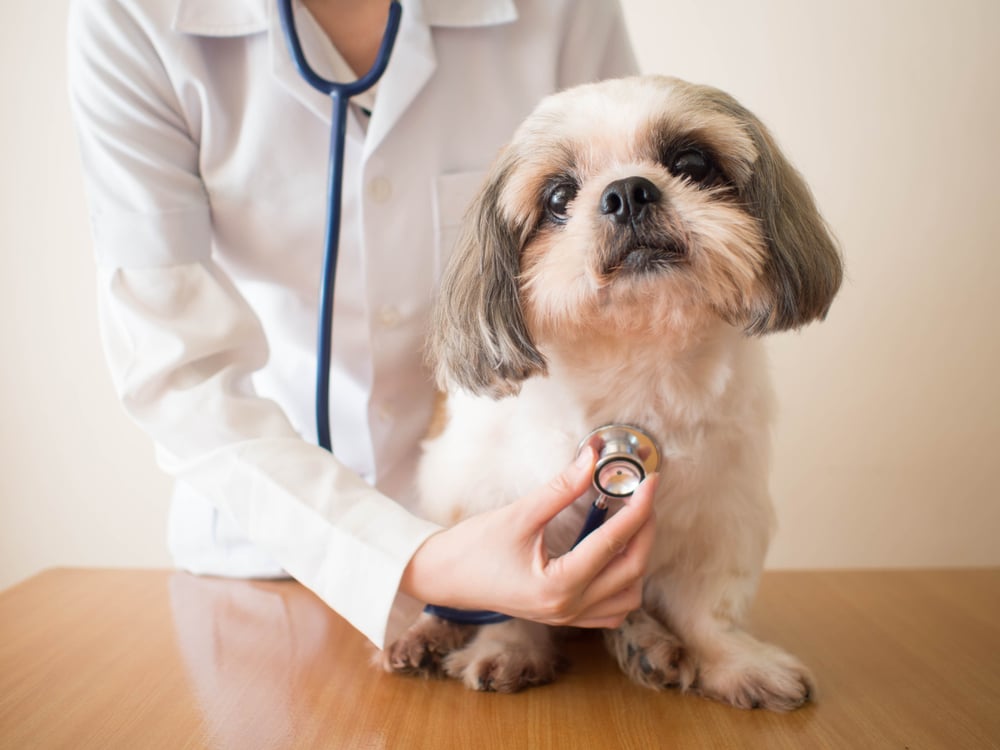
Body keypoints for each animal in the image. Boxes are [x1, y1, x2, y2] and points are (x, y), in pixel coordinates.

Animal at [382, 73, 844, 712]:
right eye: (558, 197)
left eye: (691, 163)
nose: (627, 192)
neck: (637, 360)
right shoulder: (495, 505)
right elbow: (506, 603)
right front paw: (510, 650)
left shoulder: (722, 516)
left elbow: (707, 608)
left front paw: (734, 661)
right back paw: (428, 637)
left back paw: (647, 643)